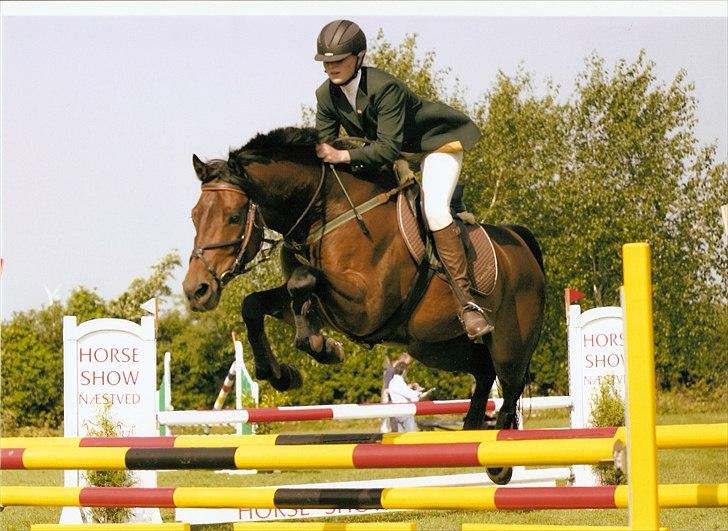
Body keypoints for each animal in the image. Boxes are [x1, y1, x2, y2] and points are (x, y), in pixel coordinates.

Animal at [183, 127, 544, 484]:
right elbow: (255, 303)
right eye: (194, 216)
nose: (196, 290)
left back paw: (498, 460)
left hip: (509, 346)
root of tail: (521, 243)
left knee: (508, 390)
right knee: (482, 371)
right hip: (434, 347)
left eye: (233, 217)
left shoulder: (367, 307)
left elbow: (303, 280)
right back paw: (473, 433)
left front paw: (318, 345)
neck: (326, 215)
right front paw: (287, 370)